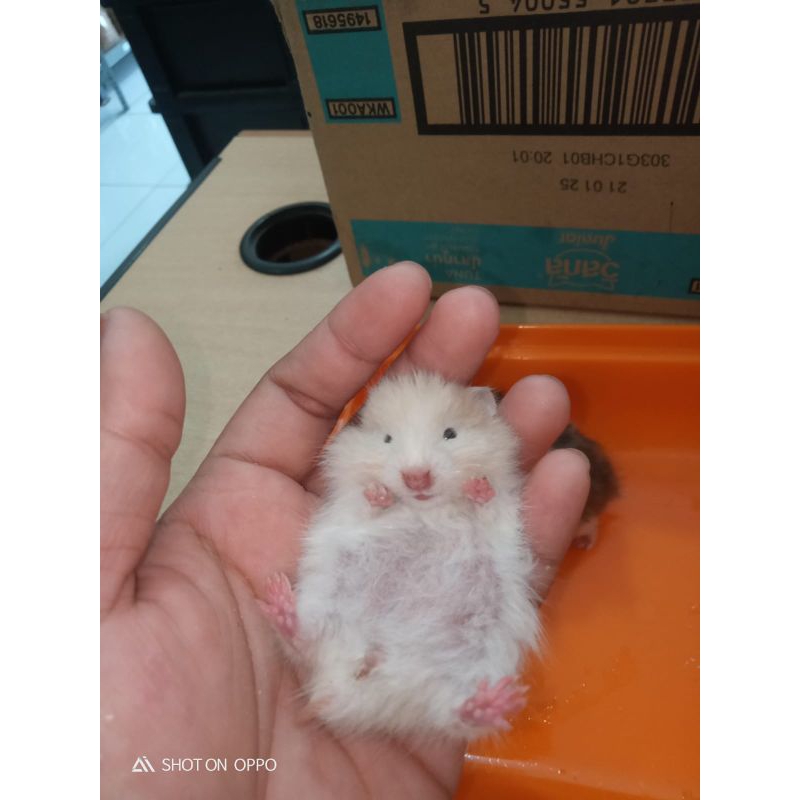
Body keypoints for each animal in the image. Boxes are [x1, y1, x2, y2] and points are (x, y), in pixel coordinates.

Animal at [258, 371, 540, 741]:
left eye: (450, 434)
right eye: (387, 439)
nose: (416, 477)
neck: (425, 509)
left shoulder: (500, 513)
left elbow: (487, 504)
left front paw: (476, 487)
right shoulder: (350, 506)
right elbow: (366, 503)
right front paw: (380, 493)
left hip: (478, 656)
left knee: (453, 713)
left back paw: (492, 704)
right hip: (326, 598)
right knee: (303, 643)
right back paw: (280, 602)